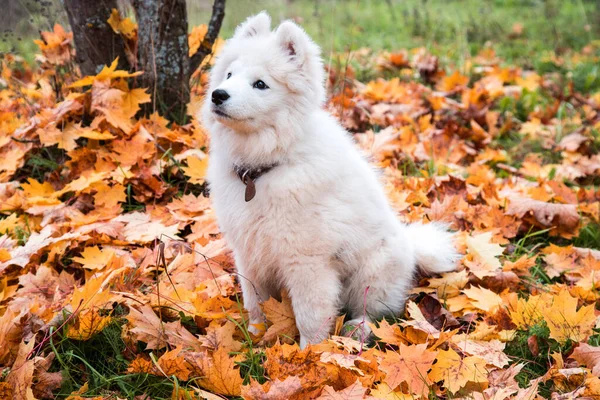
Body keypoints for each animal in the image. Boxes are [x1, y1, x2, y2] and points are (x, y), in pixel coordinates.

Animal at [203, 12, 460, 348]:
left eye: (260, 84)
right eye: (229, 74)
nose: (218, 95)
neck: (265, 165)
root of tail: (412, 247)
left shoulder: (308, 261)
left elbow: (310, 315)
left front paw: (309, 354)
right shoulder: (249, 252)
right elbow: (256, 302)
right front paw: (255, 340)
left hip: (370, 273)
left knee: (373, 312)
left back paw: (356, 331)